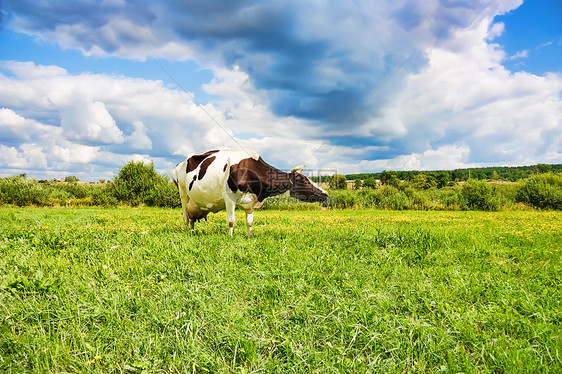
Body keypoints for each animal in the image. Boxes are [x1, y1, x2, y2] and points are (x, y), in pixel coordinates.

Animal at [173, 148, 326, 235]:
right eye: (304, 181)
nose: (325, 194)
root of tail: (181, 162)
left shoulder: (251, 201)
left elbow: (249, 222)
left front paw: (249, 236)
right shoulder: (229, 199)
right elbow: (231, 221)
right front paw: (230, 237)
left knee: (191, 218)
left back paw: (192, 231)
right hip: (183, 192)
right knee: (185, 215)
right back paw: (187, 232)